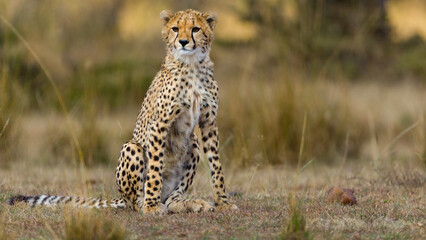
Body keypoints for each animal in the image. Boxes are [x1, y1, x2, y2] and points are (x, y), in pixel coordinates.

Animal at [6, 9, 238, 215]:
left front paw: (223, 203)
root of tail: (121, 198)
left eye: (195, 29)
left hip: (193, 144)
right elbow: (155, 167)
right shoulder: (159, 124)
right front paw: (151, 207)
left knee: (173, 198)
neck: (192, 65)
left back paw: (188, 204)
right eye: (175, 28)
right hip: (131, 147)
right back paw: (148, 203)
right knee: (135, 200)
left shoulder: (209, 122)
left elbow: (216, 165)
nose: (182, 42)